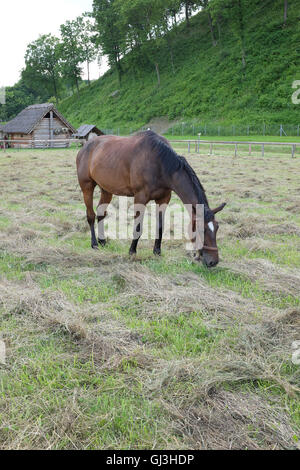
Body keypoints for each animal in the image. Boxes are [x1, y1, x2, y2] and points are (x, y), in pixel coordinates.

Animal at [76, 130, 226, 266]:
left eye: (217, 227)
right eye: (201, 229)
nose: (213, 261)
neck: (160, 163)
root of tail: (85, 147)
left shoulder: (164, 199)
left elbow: (160, 226)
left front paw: (157, 251)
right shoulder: (140, 198)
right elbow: (137, 227)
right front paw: (132, 251)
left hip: (106, 190)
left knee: (101, 213)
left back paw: (102, 241)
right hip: (87, 187)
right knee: (91, 215)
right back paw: (94, 244)